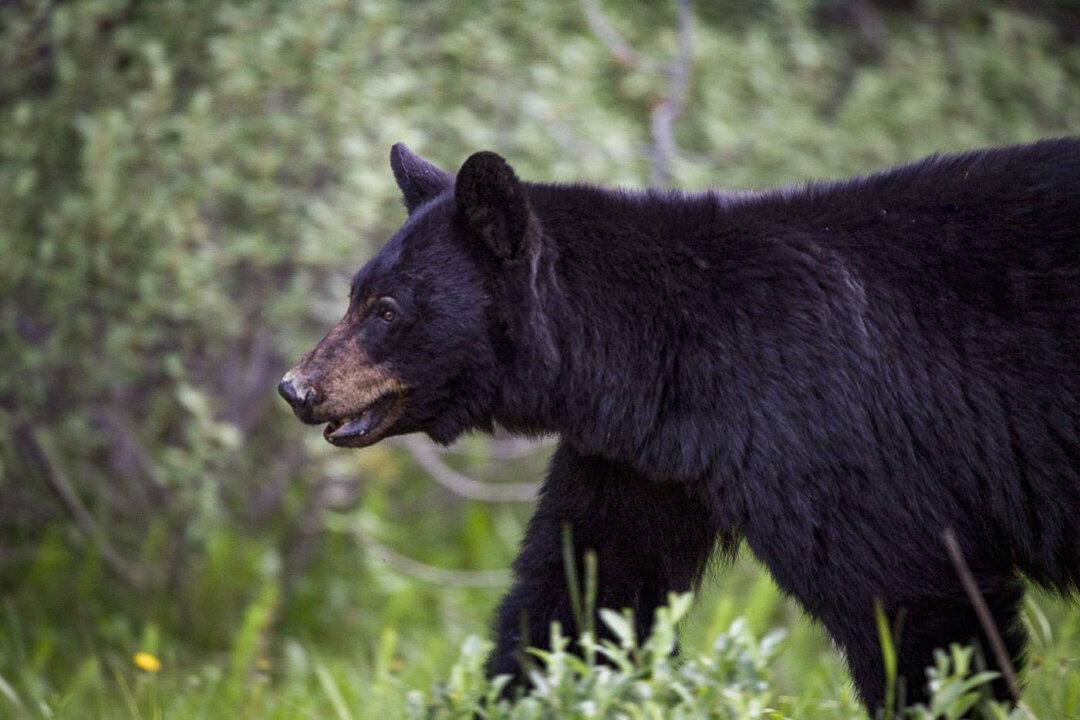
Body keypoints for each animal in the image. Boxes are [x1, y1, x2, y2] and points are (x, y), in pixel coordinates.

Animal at [279, 137, 1080, 710]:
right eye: (355, 293)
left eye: (387, 309)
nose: (297, 387)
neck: (668, 355)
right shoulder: (642, 462)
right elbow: (583, 594)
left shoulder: (826, 426)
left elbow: (913, 599)